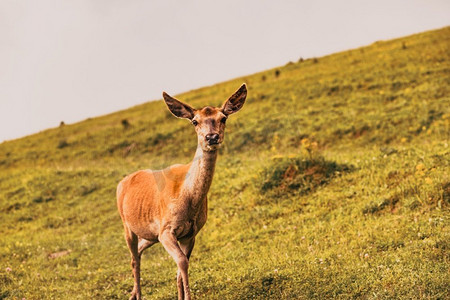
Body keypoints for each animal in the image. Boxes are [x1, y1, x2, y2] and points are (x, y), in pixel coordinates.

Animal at [117, 84, 246, 300]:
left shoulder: (190, 233)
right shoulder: (166, 230)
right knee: (134, 259)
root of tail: (122, 182)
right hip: (127, 225)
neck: (189, 202)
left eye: (223, 118)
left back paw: (133, 294)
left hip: (150, 234)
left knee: (139, 251)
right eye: (195, 121)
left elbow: (180, 269)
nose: (212, 137)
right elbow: (183, 263)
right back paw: (138, 295)